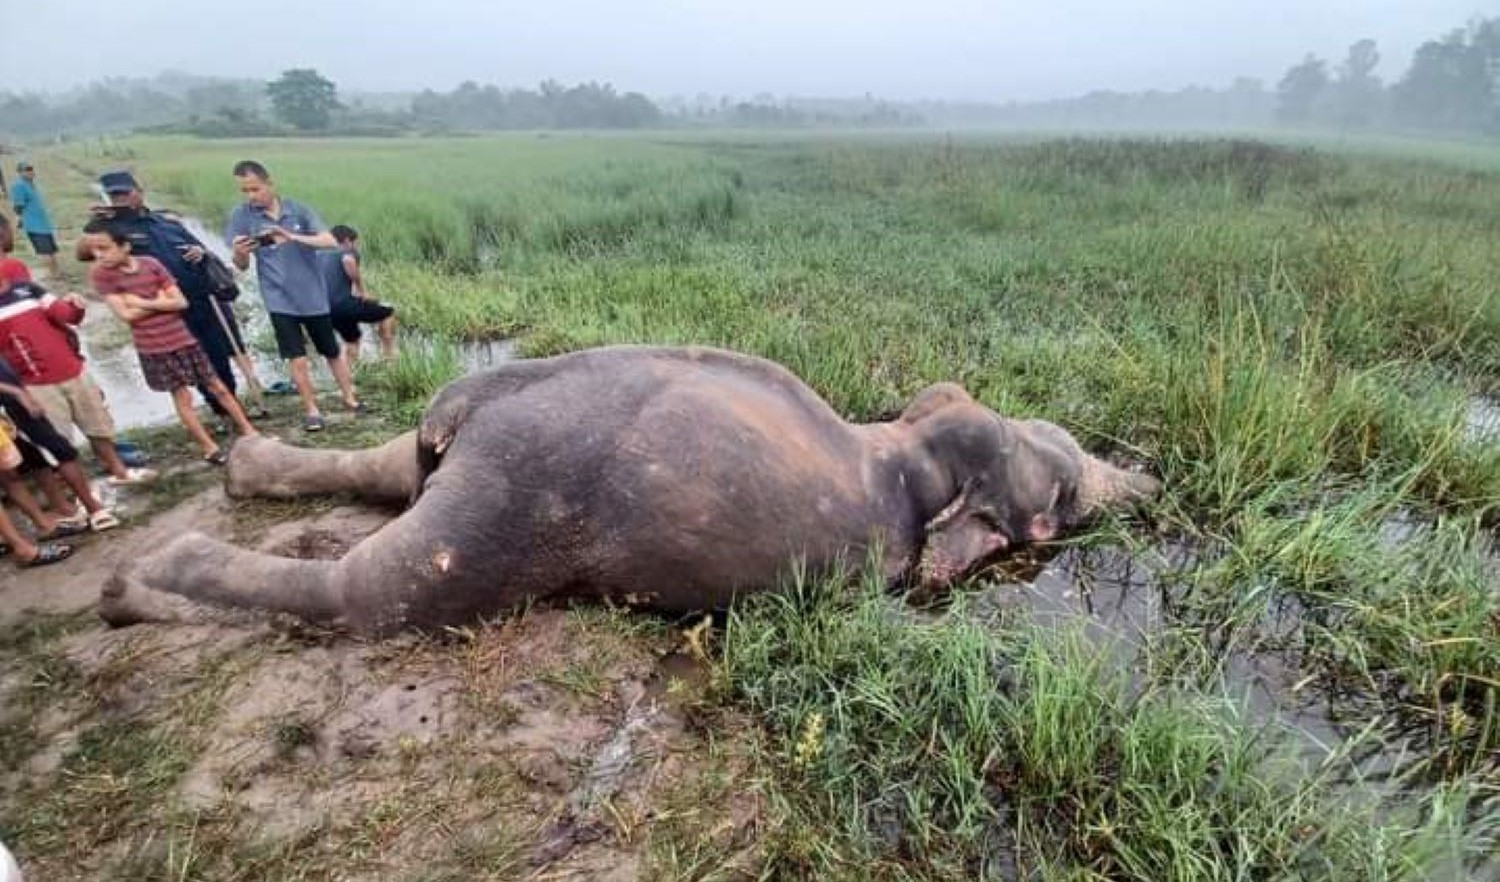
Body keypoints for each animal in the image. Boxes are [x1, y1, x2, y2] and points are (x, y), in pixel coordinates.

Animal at [102, 345, 1158, 633]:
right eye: (1063, 499)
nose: (1147, 479)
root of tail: (467, 407)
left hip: (469, 475)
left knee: (389, 475)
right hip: (505, 505)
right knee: (368, 596)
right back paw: (138, 582)